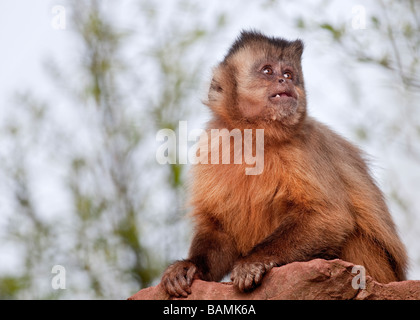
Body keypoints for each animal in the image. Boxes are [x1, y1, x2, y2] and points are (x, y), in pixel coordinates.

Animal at [160, 30, 406, 298]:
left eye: (288, 74)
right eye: (268, 71)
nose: (283, 81)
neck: (255, 135)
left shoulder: (305, 147)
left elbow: (329, 217)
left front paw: (254, 261)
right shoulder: (214, 146)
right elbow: (218, 227)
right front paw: (191, 266)